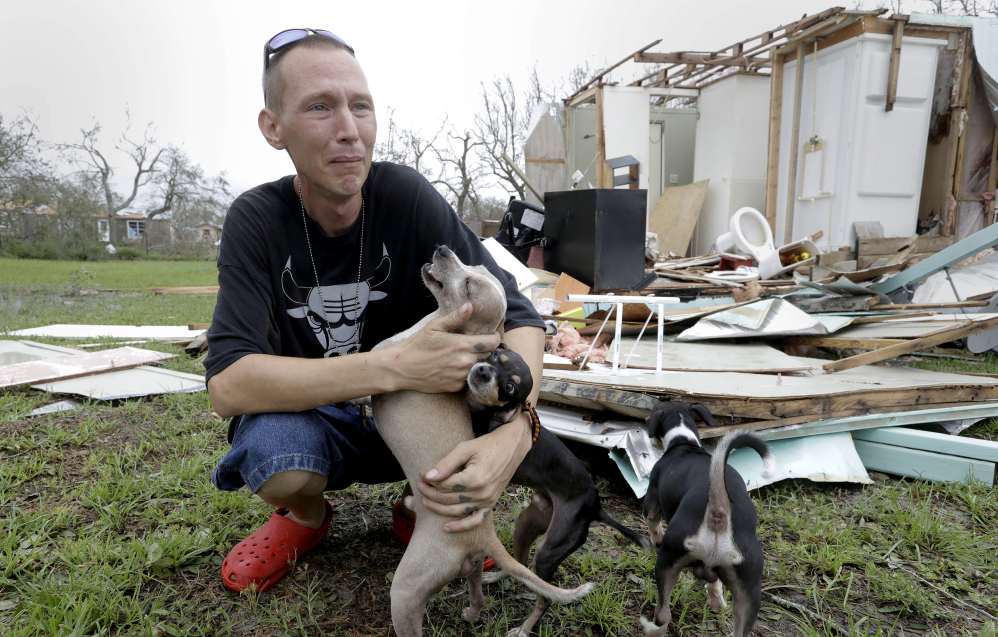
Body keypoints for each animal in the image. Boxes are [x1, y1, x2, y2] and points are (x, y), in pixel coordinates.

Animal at [374, 247, 592, 636]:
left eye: (468, 284)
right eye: (474, 264)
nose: (443, 249)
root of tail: (485, 534)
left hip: (406, 592)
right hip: (474, 564)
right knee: (478, 593)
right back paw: (474, 610)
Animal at [644, 402, 776, 636]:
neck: (684, 440)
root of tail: (719, 509)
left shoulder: (652, 498)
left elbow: (652, 522)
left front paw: (655, 539)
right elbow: (714, 584)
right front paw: (717, 602)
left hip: (667, 562)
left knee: (662, 614)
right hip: (749, 589)